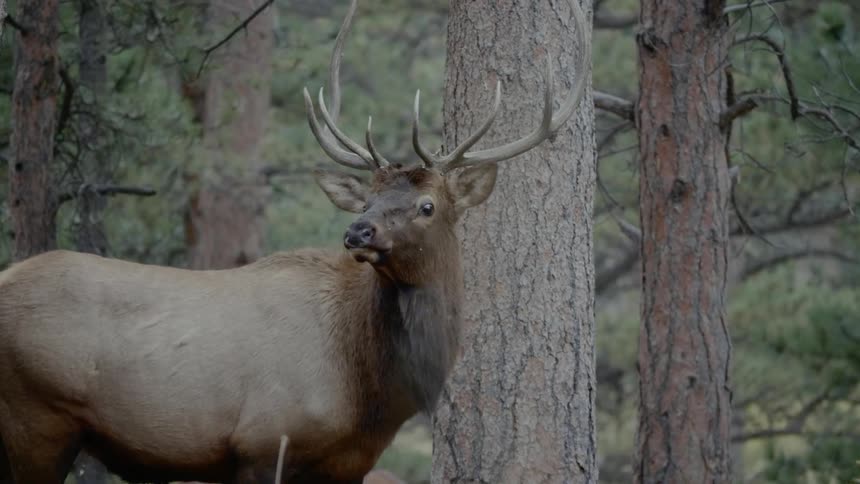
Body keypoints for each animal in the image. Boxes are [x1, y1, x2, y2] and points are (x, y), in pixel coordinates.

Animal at [0, 0, 589, 482]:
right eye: (368, 196)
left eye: (428, 205)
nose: (357, 230)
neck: (372, 396)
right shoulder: (263, 443)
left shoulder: (345, 467)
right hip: (35, 421)